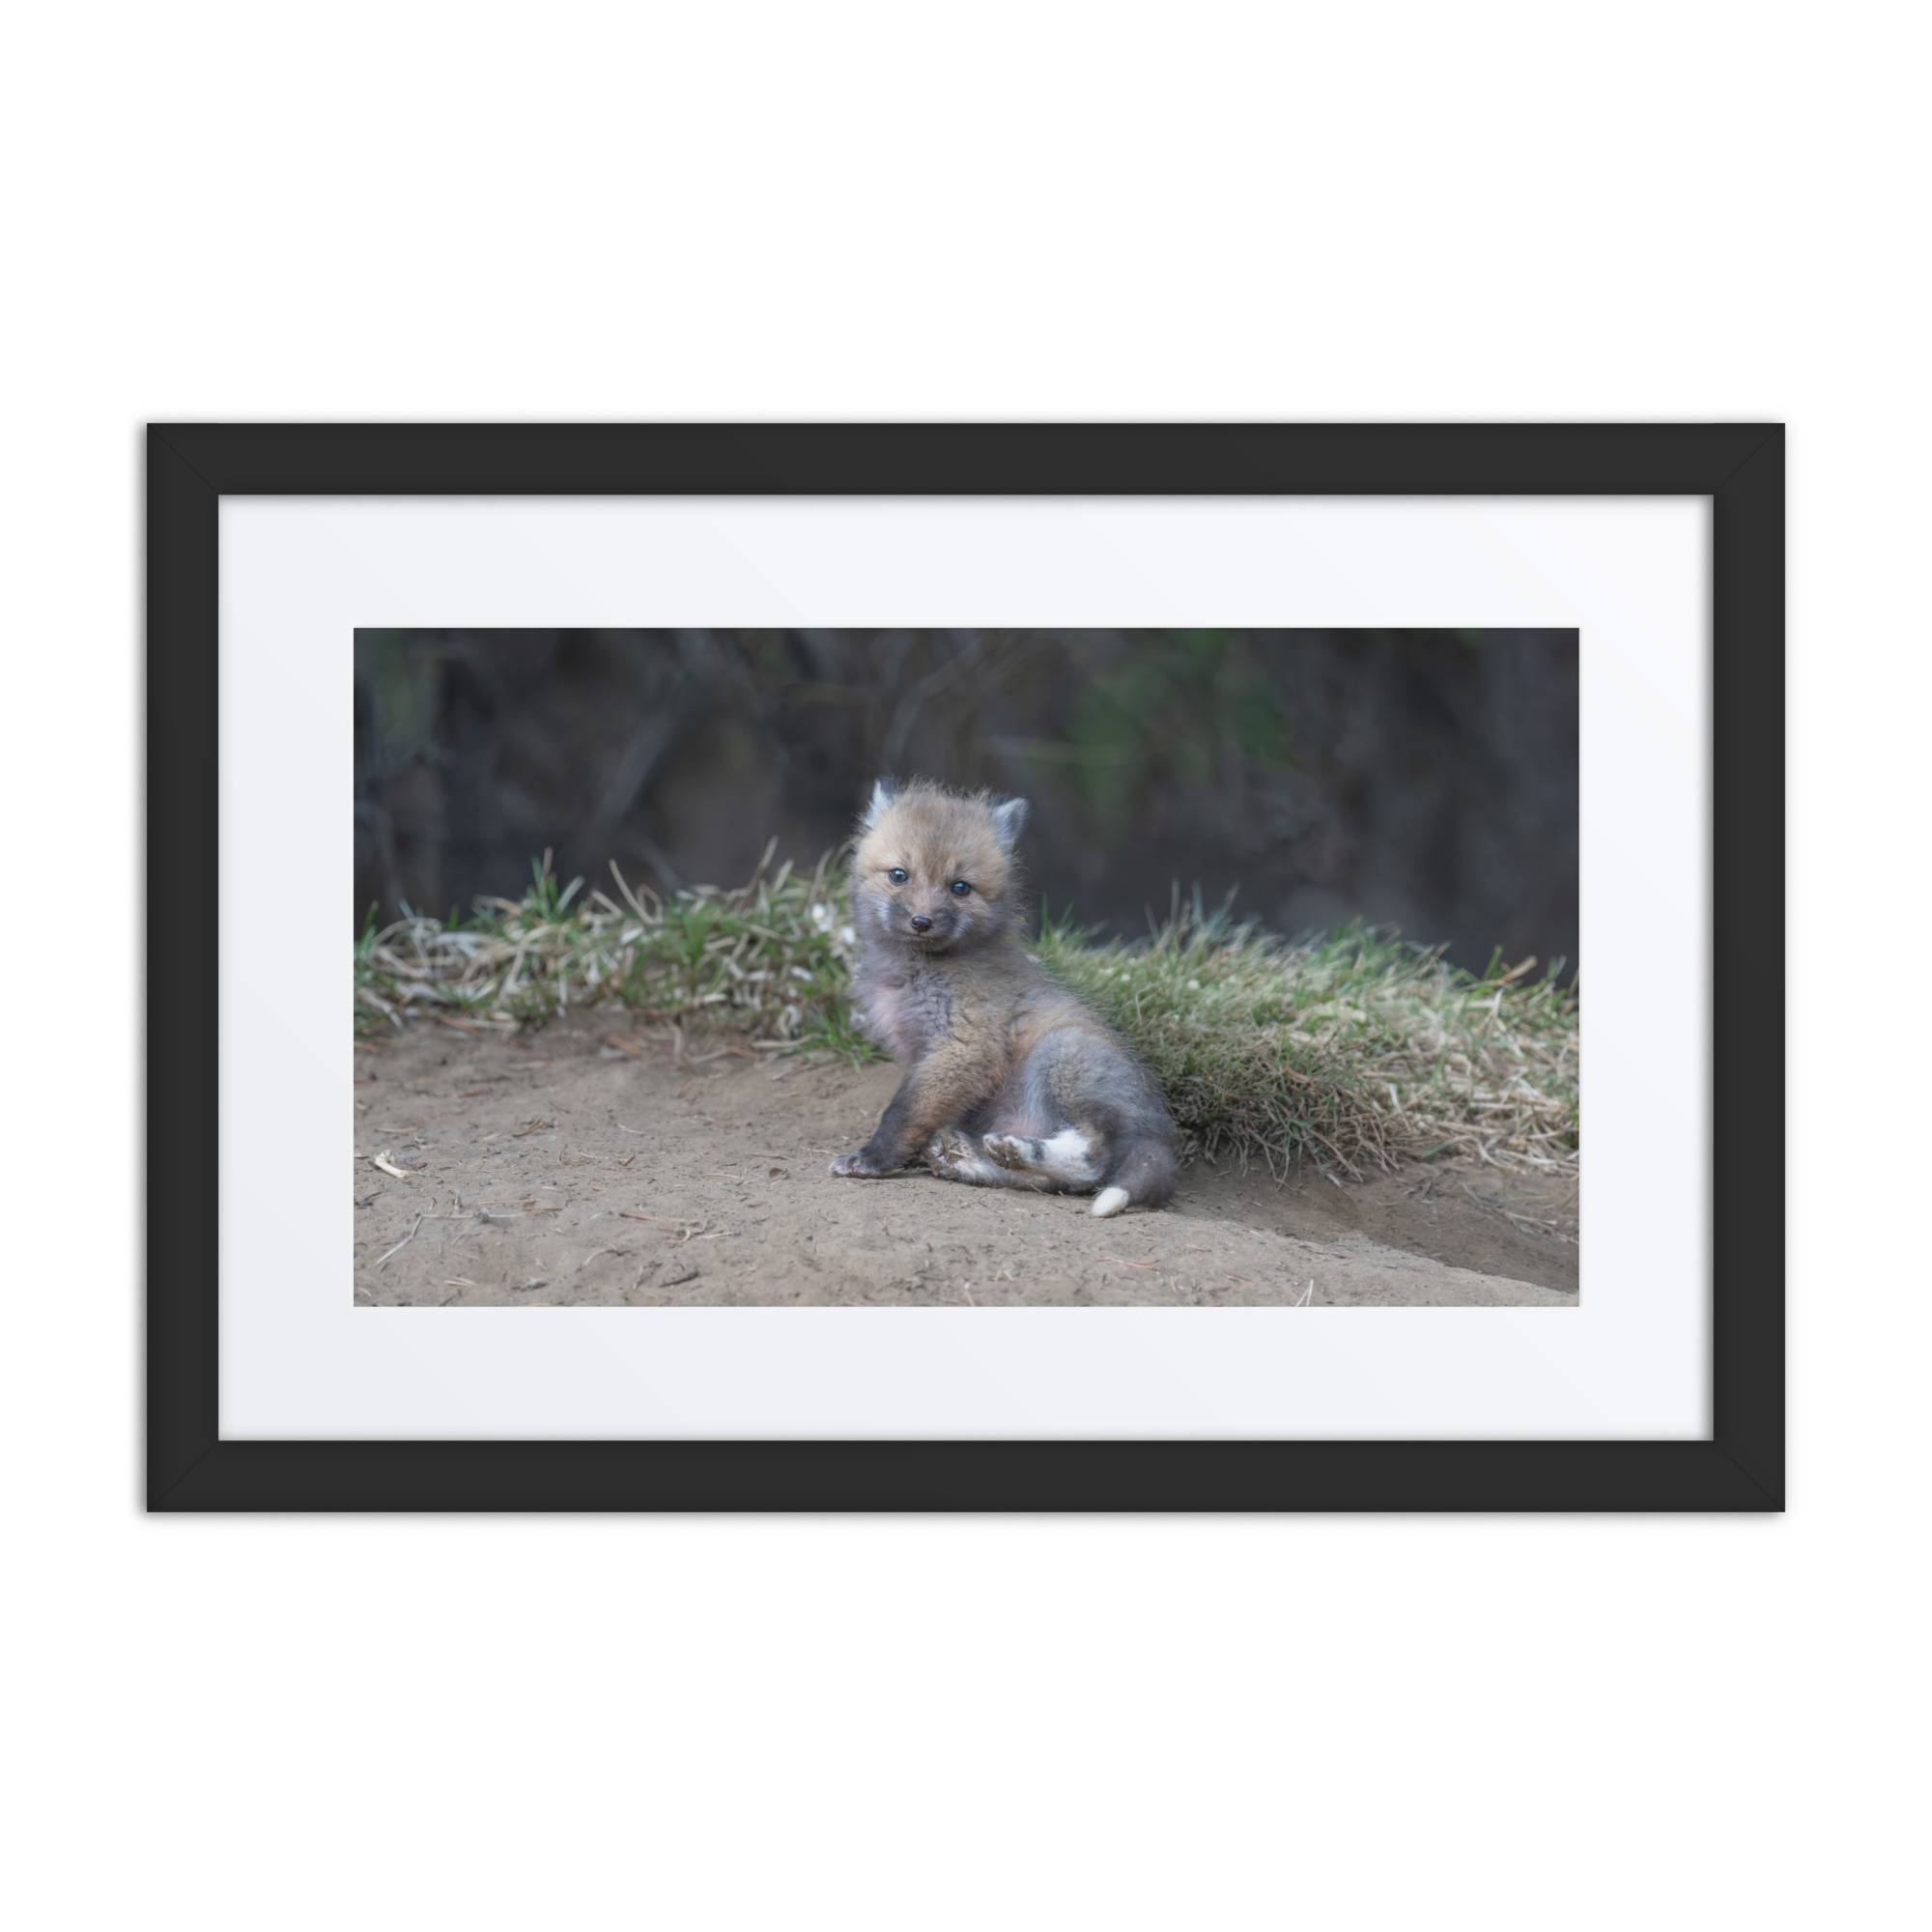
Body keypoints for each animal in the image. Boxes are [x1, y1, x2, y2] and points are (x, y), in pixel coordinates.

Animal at [828, 777, 1178, 1217]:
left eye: (960, 887)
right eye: (899, 875)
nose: (922, 921)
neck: (915, 972)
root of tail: (1159, 1133)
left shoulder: (965, 1046)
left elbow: (903, 1112)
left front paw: (872, 1158)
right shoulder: (926, 1055)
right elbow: (918, 1111)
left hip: (1060, 1055)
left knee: (1092, 1160)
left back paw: (1015, 1150)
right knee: (1052, 1183)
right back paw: (972, 1159)